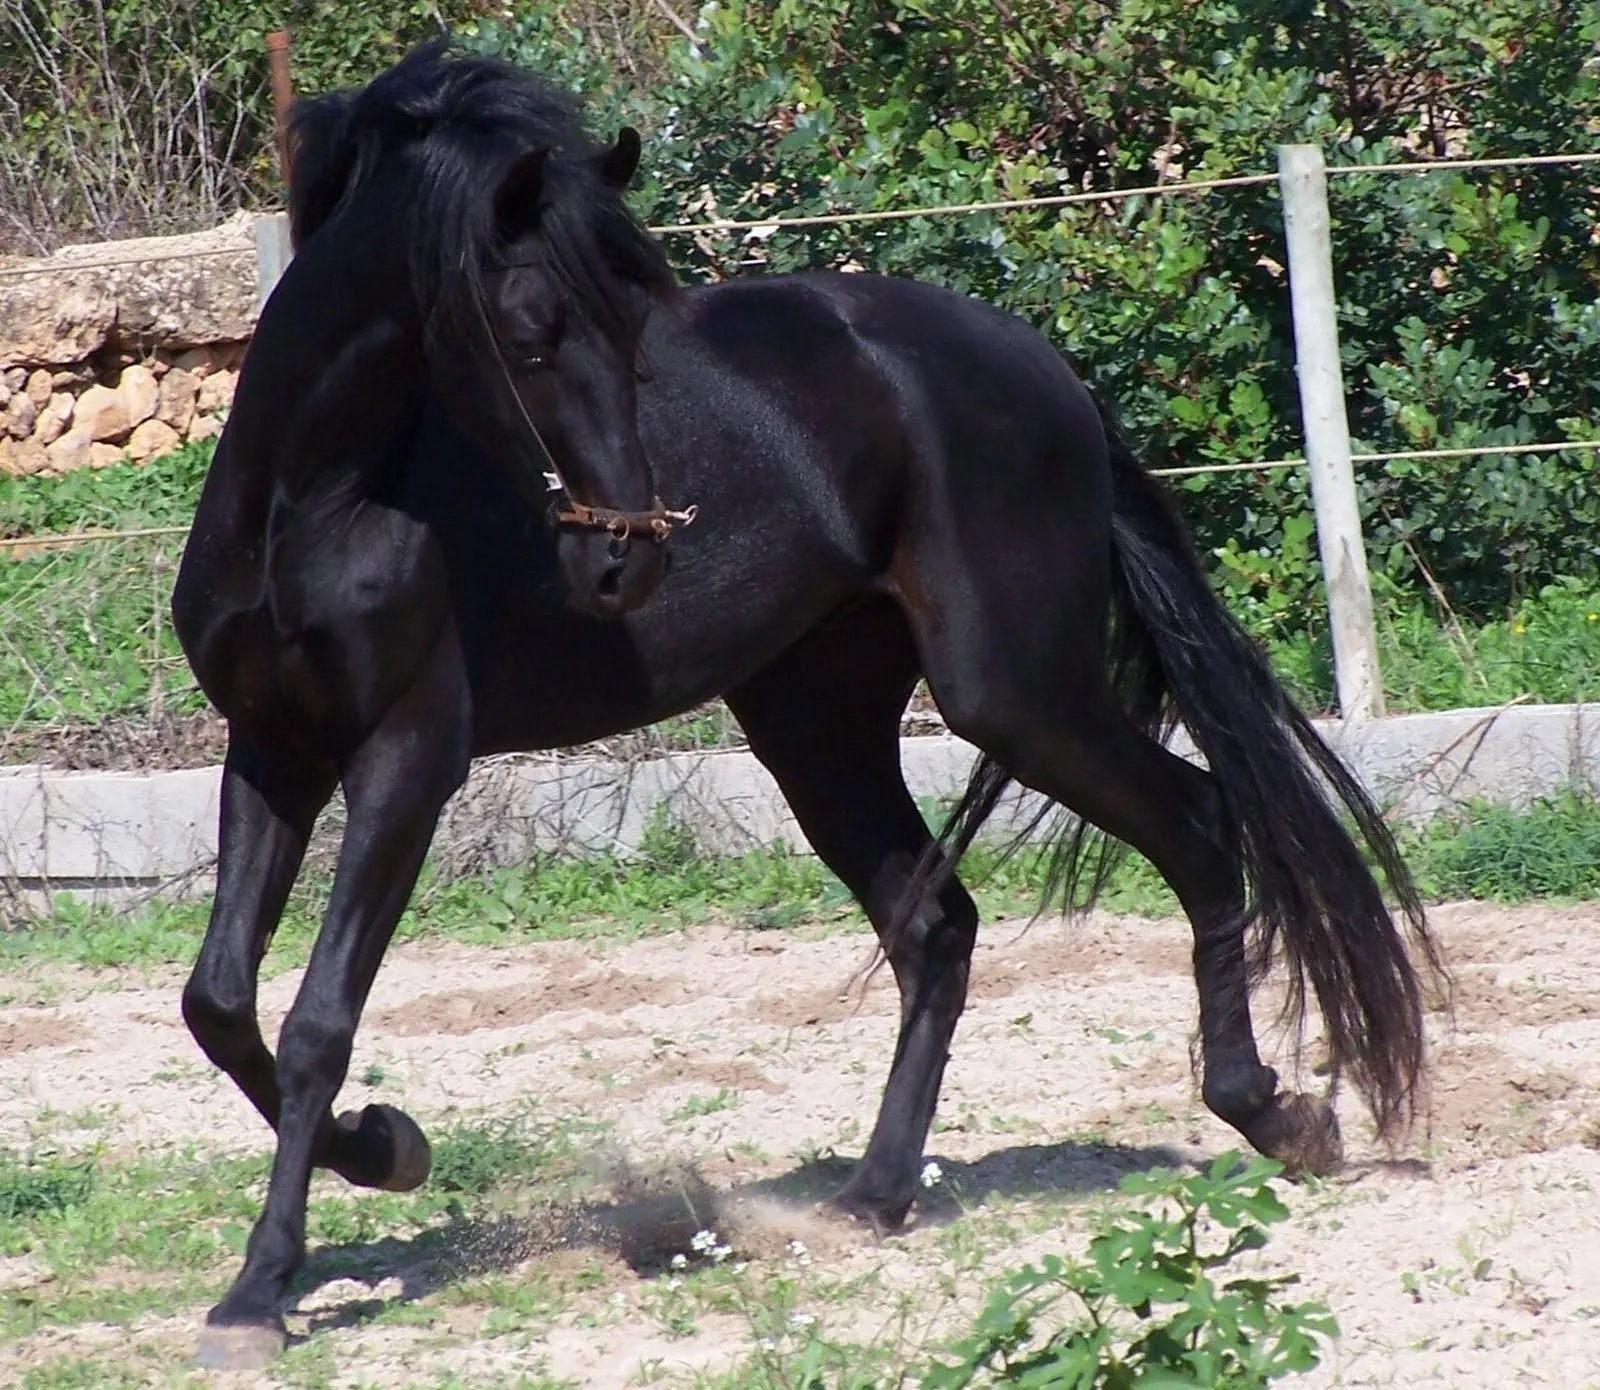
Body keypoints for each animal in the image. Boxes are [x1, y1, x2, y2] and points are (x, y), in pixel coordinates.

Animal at [168, 43, 1446, 1369]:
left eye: (632, 335)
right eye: (527, 334)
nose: (627, 562)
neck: (314, 505)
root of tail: (1044, 369)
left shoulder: (409, 758)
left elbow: (316, 1021)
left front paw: (264, 1284)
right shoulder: (273, 749)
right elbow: (219, 1002)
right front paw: (382, 1152)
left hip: (1014, 695)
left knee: (1193, 827)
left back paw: (1274, 1116)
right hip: (814, 726)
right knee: (937, 927)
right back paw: (873, 1197)